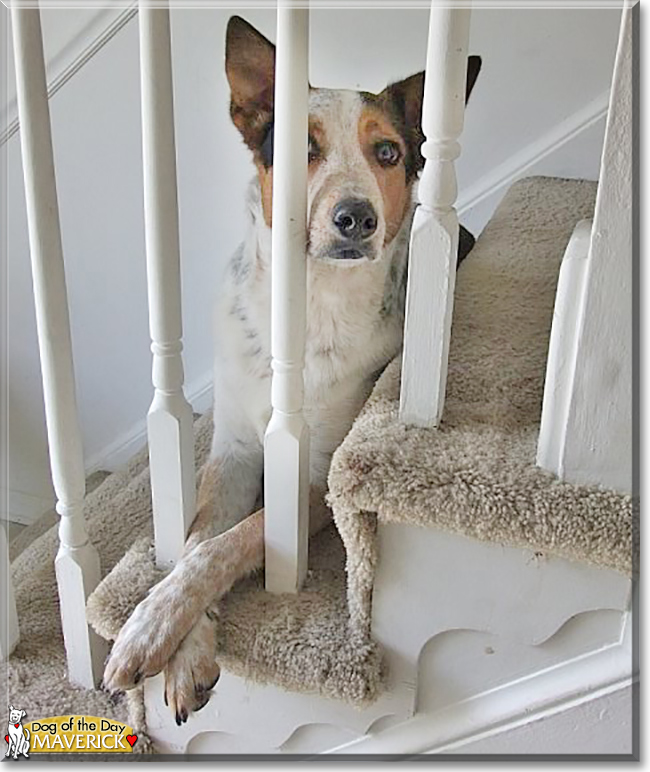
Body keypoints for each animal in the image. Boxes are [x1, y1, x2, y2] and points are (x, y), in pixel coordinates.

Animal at [101, 13, 476, 724]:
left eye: (388, 153)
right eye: (302, 145)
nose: (357, 218)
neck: (305, 307)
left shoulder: (314, 475)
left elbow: (233, 542)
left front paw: (149, 631)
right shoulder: (234, 454)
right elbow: (197, 541)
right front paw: (178, 641)